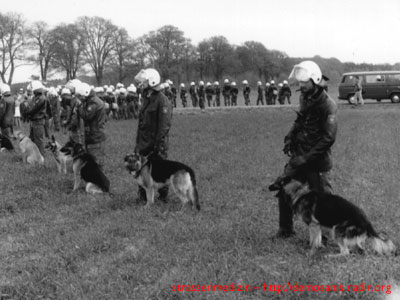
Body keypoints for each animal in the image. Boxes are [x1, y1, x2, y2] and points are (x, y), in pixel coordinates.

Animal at [268, 177, 396, 256]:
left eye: (276, 181)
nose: (268, 187)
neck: (299, 192)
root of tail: (366, 220)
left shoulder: (313, 225)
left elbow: (313, 242)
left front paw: (311, 253)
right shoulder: (316, 226)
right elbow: (316, 240)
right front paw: (316, 248)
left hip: (337, 230)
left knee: (345, 253)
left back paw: (331, 256)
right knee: (359, 249)